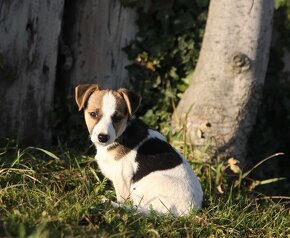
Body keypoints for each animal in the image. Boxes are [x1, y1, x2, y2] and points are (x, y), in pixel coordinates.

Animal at [76, 83, 205, 216]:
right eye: (93, 114)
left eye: (117, 118)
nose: (102, 137)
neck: (122, 133)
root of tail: (187, 212)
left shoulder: (123, 178)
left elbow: (122, 199)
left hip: (143, 188)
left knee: (135, 208)